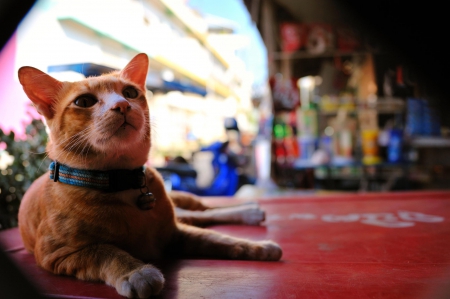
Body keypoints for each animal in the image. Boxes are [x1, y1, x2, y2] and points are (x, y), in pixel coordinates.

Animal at [17, 52, 282, 298]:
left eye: (129, 93)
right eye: (84, 101)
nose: (122, 105)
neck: (122, 180)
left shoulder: (174, 233)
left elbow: (220, 239)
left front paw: (258, 246)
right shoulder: (57, 254)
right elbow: (104, 251)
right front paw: (137, 272)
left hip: (180, 212)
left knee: (204, 212)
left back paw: (249, 211)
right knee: (199, 216)